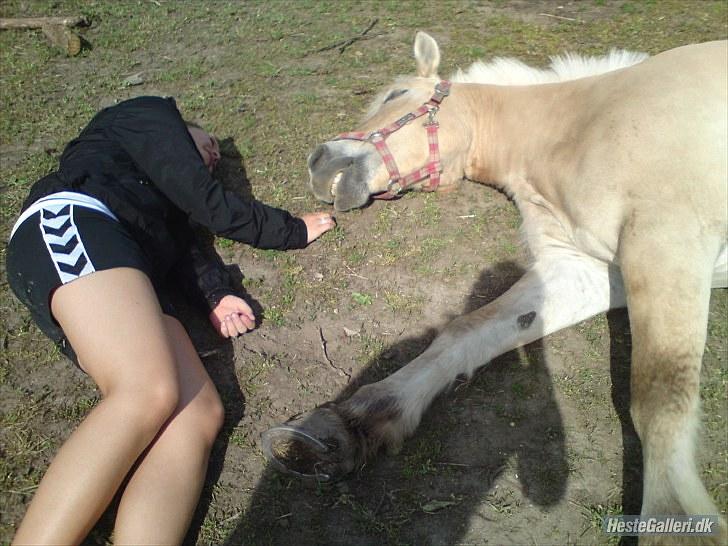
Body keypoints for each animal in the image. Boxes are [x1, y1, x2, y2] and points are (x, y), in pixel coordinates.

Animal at [264, 31, 728, 540]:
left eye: (394, 94)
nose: (319, 161)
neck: (578, 126)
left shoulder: (668, 239)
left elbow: (660, 399)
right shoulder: (584, 267)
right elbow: (469, 330)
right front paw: (355, 421)